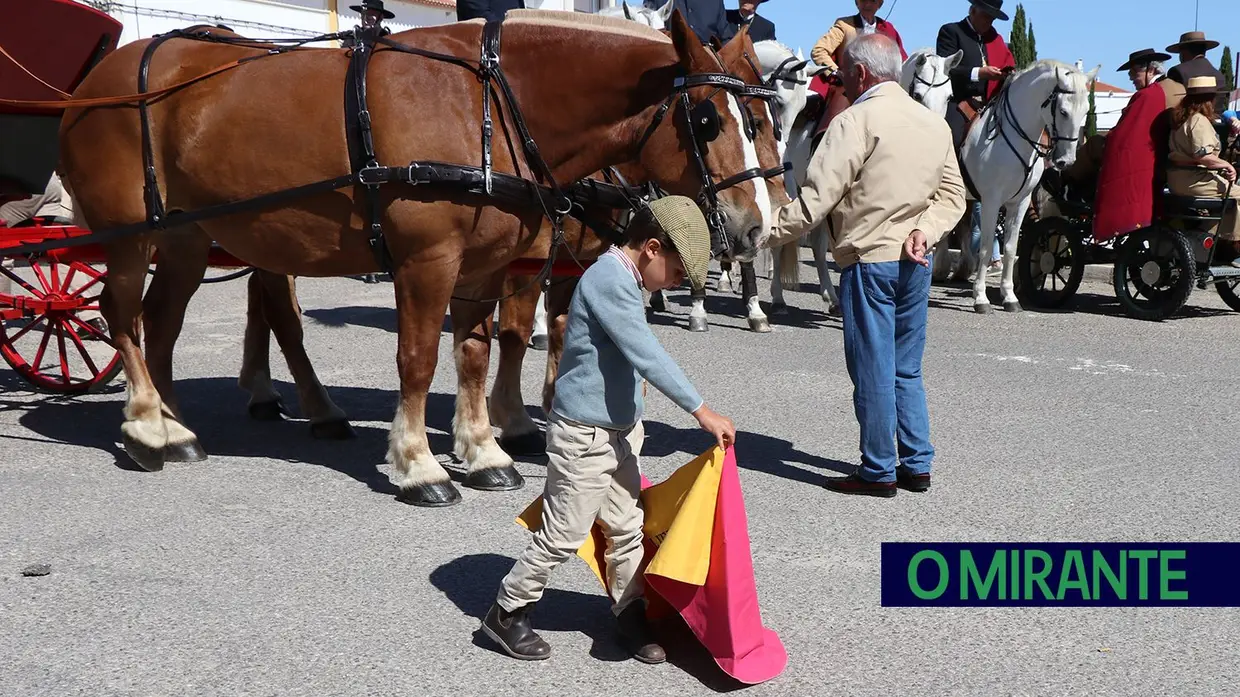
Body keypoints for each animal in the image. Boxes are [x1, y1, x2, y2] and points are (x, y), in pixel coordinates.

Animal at [58, 8, 783, 501]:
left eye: (766, 122)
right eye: (708, 120)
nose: (758, 229)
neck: (488, 105)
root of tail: (97, 82)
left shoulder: (486, 266)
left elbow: (477, 354)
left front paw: (485, 448)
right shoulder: (428, 260)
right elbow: (421, 357)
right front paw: (419, 463)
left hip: (187, 239)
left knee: (165, 321)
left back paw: (179, 421)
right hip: (131, 238)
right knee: (121, 312)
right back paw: (148, 425)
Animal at [947, 59, 1096, 312]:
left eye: (1086, 111)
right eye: (1063, 111)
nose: (1066, 161)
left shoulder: (1020, 202)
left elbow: (1010, 247)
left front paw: (1009, 297)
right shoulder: (991, 201)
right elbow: (985, 247)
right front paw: (981, 298)